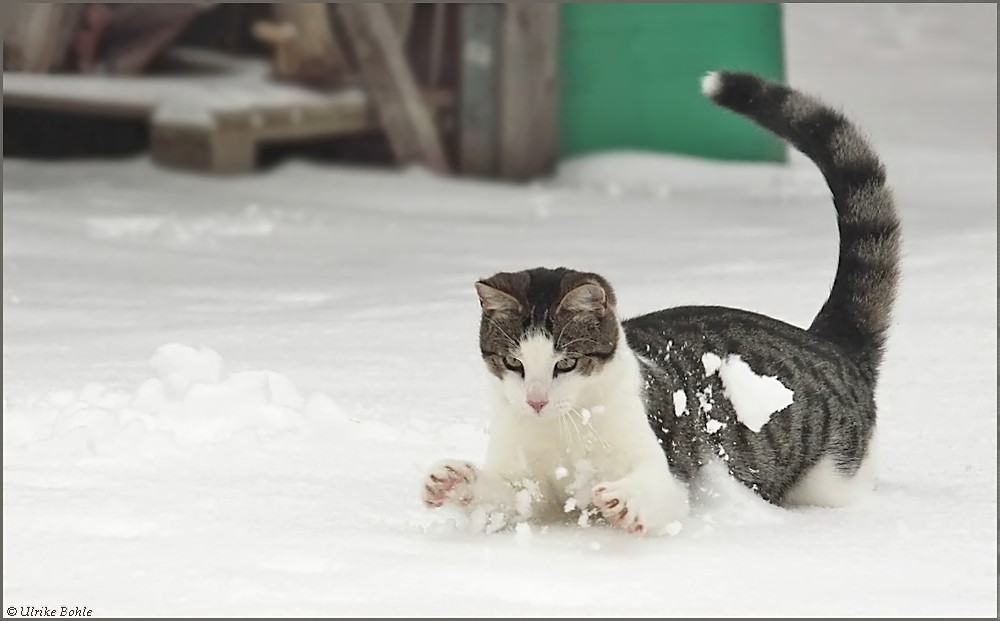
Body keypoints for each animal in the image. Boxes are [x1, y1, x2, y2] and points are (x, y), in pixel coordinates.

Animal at [418, 70, 904, 536]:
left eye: (566, 364)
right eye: (513, 363)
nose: (535, 401)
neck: (561, 428)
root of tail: (829, 343)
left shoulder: (667, 459)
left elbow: (663, 493)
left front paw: (626, 501)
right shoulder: (526, 478)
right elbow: (510, 499)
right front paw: (454, 481)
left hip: (831, 477)